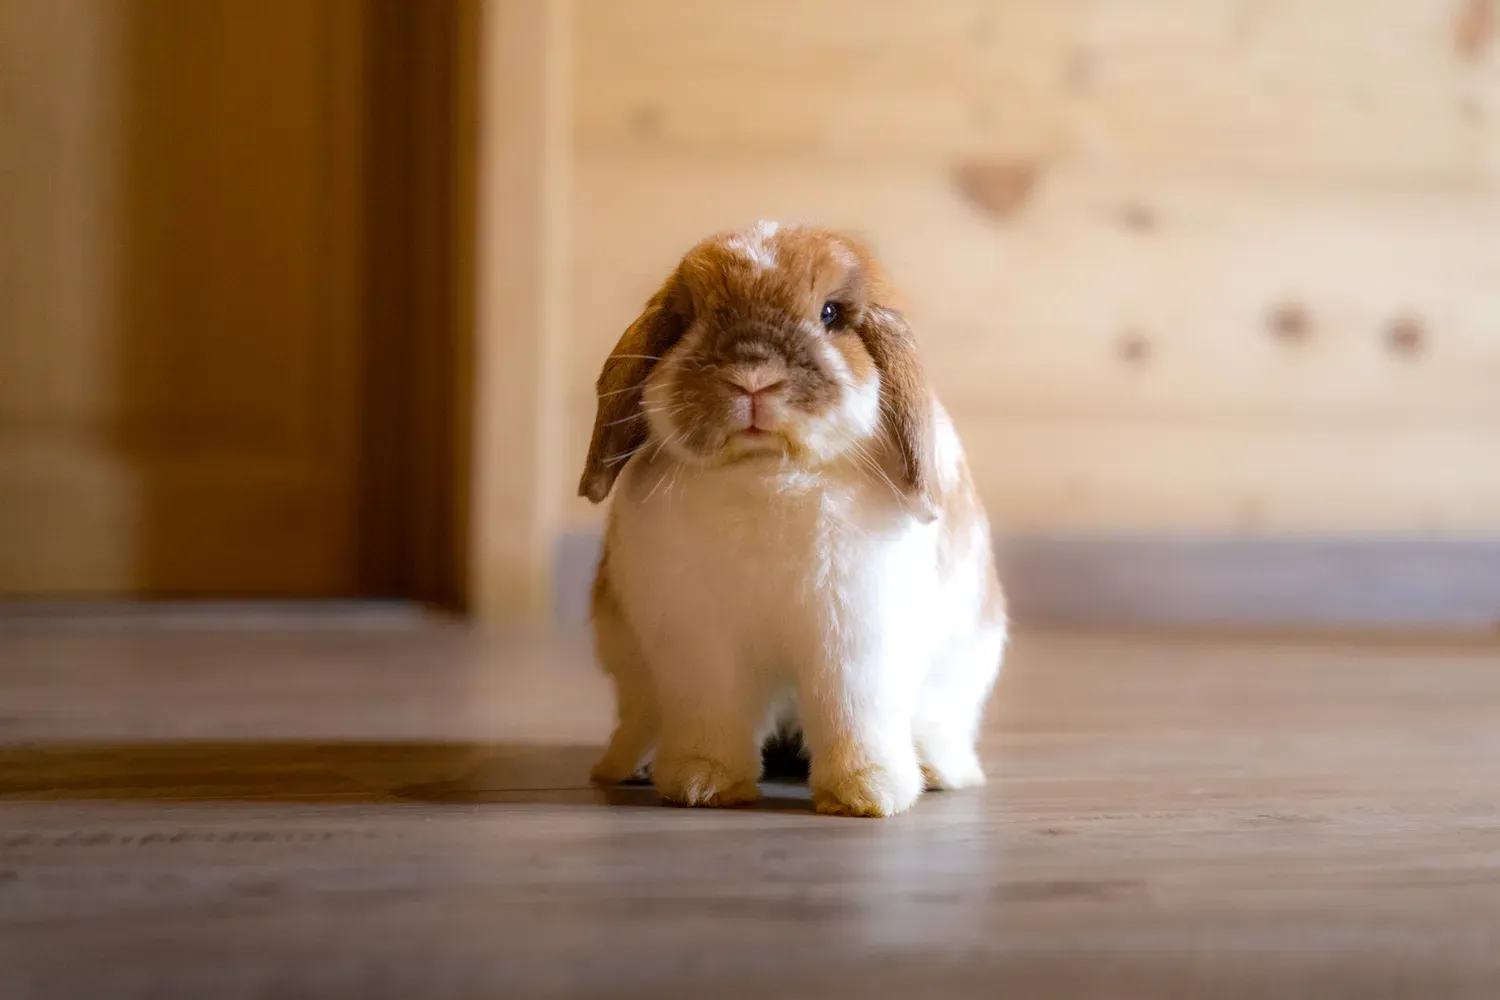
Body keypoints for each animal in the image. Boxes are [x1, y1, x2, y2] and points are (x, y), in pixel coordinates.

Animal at [577, 222, 1007, 817]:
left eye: (830, 313)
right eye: (687, 320)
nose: (753, 379)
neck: (769, 474)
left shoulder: (855, 643)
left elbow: (853, 718)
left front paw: (867, 794)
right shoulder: (699, 646)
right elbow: (711, 716)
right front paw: (703, 784)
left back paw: (938, 771)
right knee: (641, 719)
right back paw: (630, 765)